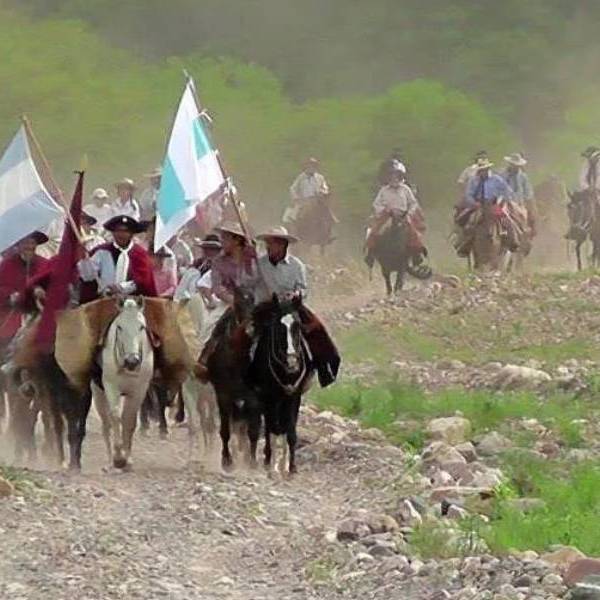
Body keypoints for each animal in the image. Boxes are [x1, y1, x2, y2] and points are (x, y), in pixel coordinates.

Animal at [91, 298, 154, 472]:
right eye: (119, 327)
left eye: (142, 326)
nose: (132, 361)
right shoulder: (111, 387)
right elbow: (115, 416)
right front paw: (118, 458)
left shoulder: (138, 391)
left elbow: (129, 421)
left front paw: (128, 460)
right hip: (98, 392)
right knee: (106, 424)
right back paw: (109, 460)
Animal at [251, 296, 312, 474]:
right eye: (278, 327)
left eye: (297, 325)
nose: (292, 361)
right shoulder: (269, 398)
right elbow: (272, 428)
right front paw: (271, 465)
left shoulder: (294, 397)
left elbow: (290, 431)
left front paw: (291, 467)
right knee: (267, 427)